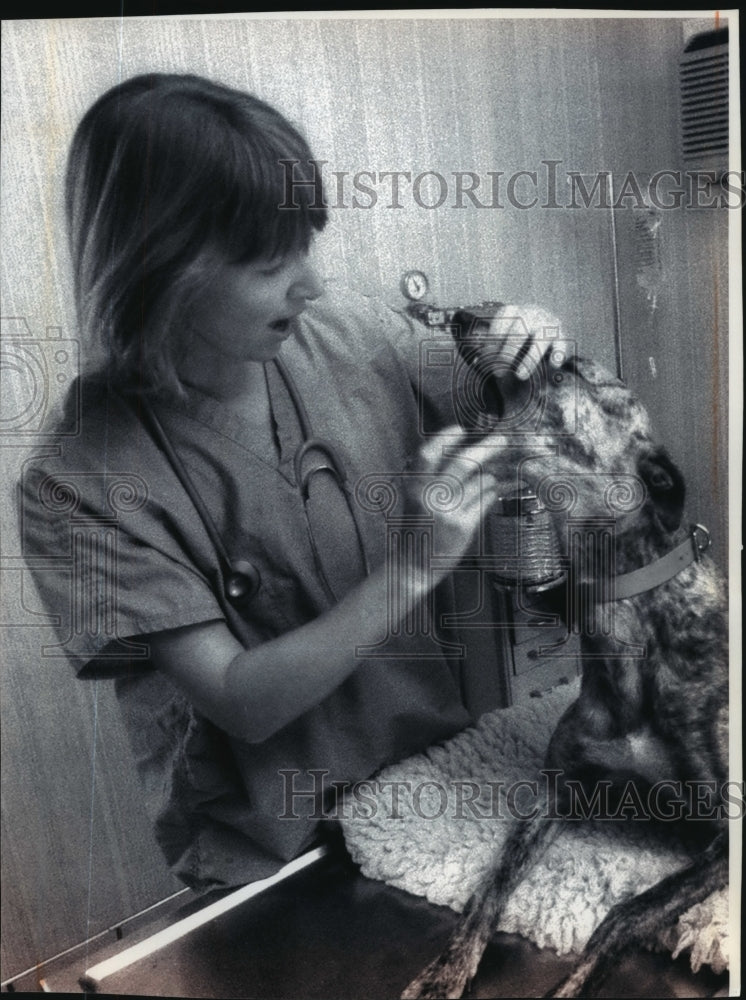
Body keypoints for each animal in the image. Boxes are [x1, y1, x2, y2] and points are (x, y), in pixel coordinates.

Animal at [402, 356, 728, 996]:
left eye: (570, 369)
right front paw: (445, 970)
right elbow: (491, 886)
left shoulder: (732, 832)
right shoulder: (556, 790)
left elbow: (630, 911)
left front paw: (577, 979)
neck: (631, 626)